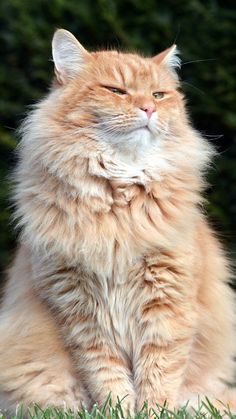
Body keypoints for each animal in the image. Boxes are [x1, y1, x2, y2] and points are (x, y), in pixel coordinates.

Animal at [0, 30, 236, 416]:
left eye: (158, 95)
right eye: (116, 90)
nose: (148, 109)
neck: (119, 194)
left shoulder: (168, 299)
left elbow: (159, 373)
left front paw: (155, 412)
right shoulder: (79, 309)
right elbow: (106, 377)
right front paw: (119, 411)